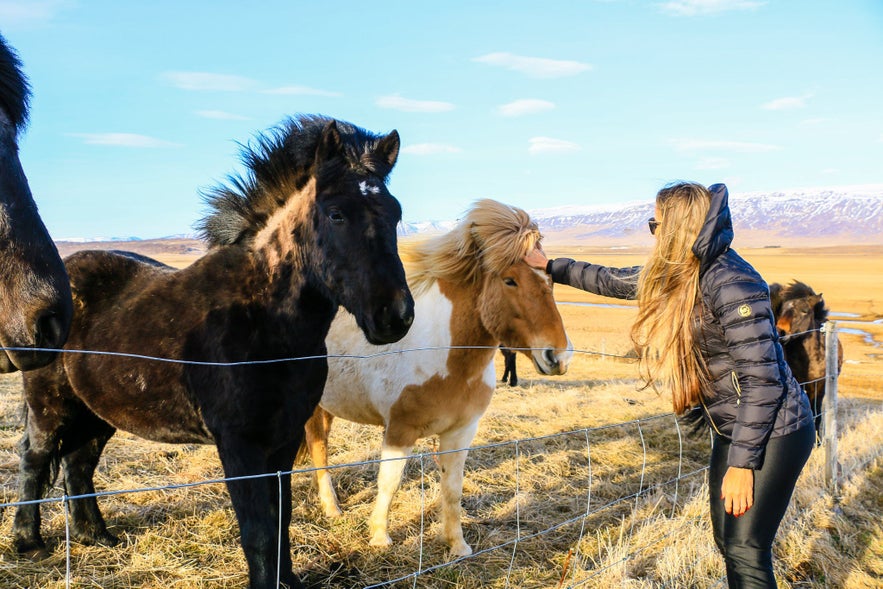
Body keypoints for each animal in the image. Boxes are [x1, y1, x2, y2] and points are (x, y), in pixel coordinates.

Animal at [12, 115, 414, 588]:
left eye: (396, 213)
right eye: (336, 214)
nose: (395, 315)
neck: (264, 320)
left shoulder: (283, 439)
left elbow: (282, 520)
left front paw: (288, 580)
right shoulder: (239, 445)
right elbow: (259, 532)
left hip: (97, 411)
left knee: (78, 464)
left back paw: (97, 537)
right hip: (50, 405)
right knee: (34, 458)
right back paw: (29, 543)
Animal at [304, 199, 572, 556]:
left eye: (551, 280)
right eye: (509, 280)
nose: (559, 357)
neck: (448, 357)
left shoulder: (460, 433)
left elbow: (453, 489)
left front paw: (457, 545)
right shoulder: (399, 431)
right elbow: (389, 482)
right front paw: (379, 537)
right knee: (318, 448)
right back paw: (331, 508)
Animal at [772, 278, 844, 434]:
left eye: (804, 311)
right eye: (782, 310)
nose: (780, 332)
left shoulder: (819, 385)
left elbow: (816, 412)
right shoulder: (800, 384)